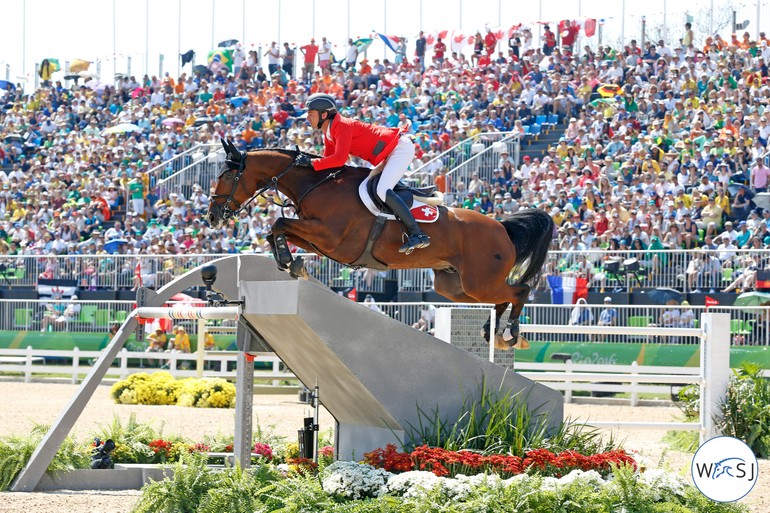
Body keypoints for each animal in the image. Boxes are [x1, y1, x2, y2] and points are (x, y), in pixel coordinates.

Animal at [206, 140, 552, 348]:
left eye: (226, 177)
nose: (212, 216)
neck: (315, 184)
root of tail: (502, 227)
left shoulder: (332, 238)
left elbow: (279, 223)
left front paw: (290, 262)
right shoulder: (321, 240)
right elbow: (279, 230)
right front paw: (291, 263)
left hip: (479, 281)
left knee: (519, 291)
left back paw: (511, 333)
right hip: (455, 286)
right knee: (500, 297)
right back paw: (492, 332)